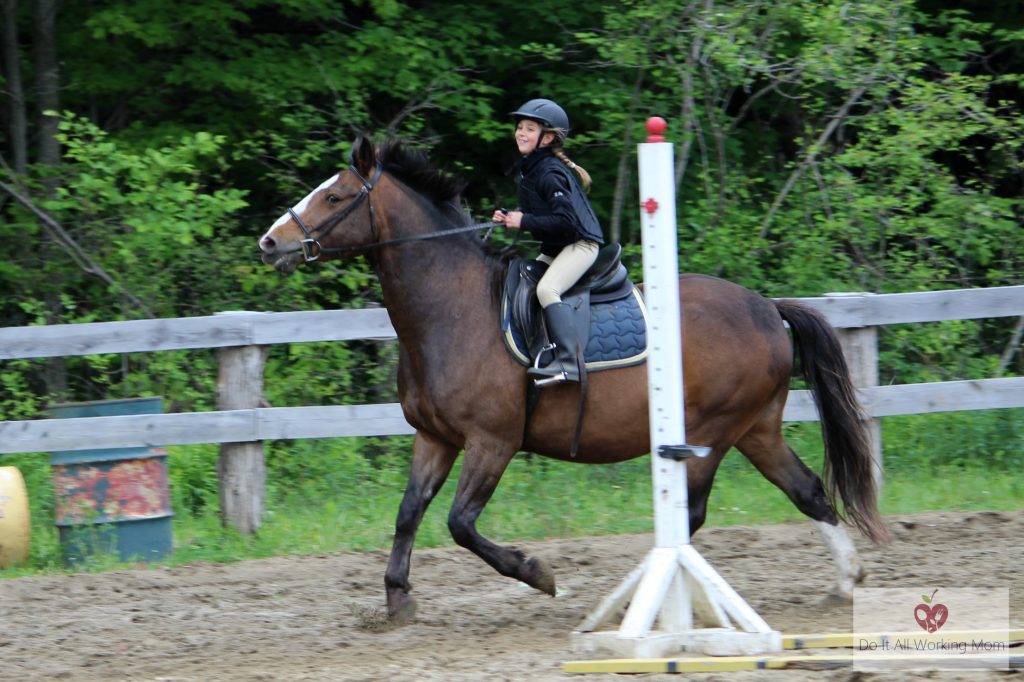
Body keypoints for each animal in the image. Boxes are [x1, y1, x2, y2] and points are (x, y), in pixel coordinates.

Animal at [262, 137, 888, 622]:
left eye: (334, 196)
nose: (271, 243)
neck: (451, 309)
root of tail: (766, 308)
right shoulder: (434, 438)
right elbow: (409, 513)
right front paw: (397, 601)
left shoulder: (492, 442)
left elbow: (460, 523)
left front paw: (538, 573)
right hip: (756, 429)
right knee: (807, 491)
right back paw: (845, 581)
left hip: (711, 434)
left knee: (694, 516)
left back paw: (646, 599)